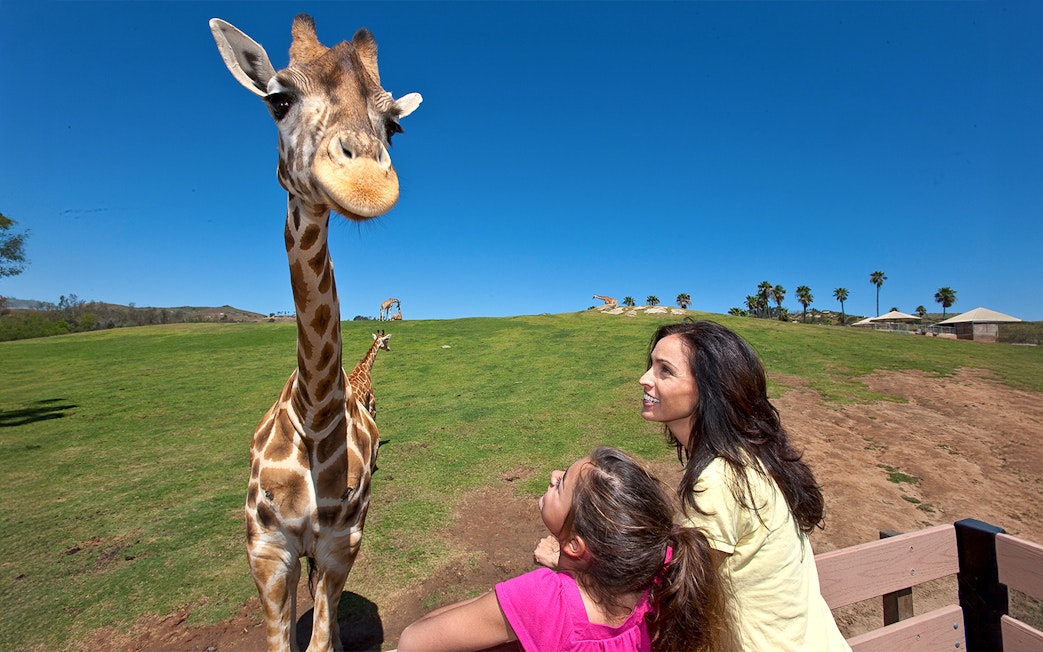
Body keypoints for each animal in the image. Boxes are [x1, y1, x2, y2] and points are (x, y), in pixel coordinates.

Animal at [210, 14, 421, 652]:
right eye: (278, 100)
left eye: (394, 125)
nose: (366, 183)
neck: (315, 410)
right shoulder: (265, 550)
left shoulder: (339, 543)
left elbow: (320, 639)